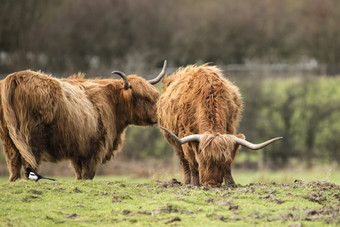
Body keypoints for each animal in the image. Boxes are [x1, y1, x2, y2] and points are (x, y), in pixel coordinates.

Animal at [0, 61, 167, 182]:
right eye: (143, 97)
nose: (160, 114)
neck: (112, 102)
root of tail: (15, 77)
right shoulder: (95, 148)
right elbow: (87, 175)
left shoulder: (78, 152)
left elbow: (79, 175)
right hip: (32, 138)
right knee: (30, 164)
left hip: (8, 139)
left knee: (13, 164)